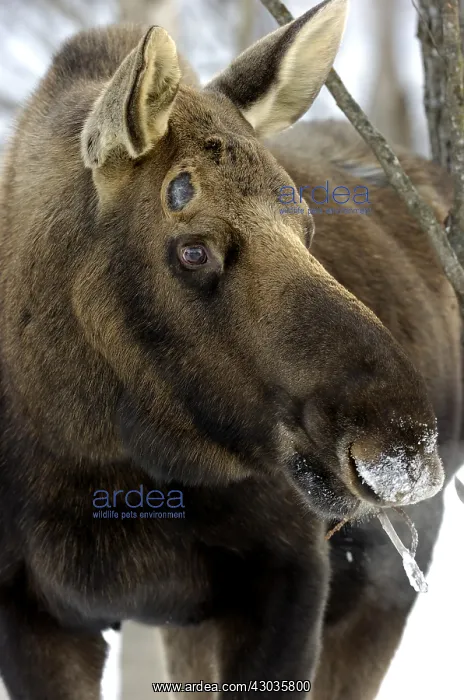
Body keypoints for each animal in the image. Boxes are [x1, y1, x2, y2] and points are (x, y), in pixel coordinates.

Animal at [0, 0, 461, 698]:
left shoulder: (293, 573)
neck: (89, 457)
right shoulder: (30, 613)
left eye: (306, 226)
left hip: (381, 588)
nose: (403, 443)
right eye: (194, 249)